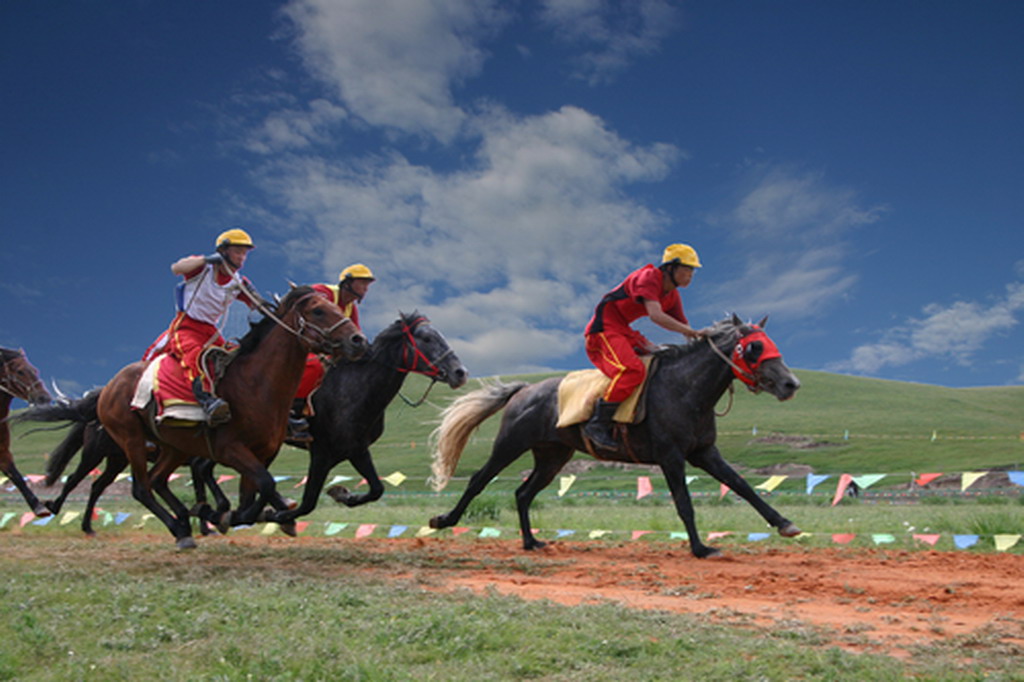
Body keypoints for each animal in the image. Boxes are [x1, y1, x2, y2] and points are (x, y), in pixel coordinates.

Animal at [0, 348, 52, 512]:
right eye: (20, 371)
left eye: (35, 370)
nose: (44, 397)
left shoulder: (3, 452)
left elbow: (16, 476)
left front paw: (38, 507)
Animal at [428, 313, 802, 557]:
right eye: (754, 347)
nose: (791, 384)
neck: (685, 389)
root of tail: (524, 390)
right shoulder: (671, 456)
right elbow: (684, 502)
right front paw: (699, 548)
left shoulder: (705, 452)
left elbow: (742, 486)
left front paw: (785, 524)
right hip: (510, 445)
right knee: (479, 480)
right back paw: (444, 520)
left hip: (552, 457)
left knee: (523, 493)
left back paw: (531, 542)